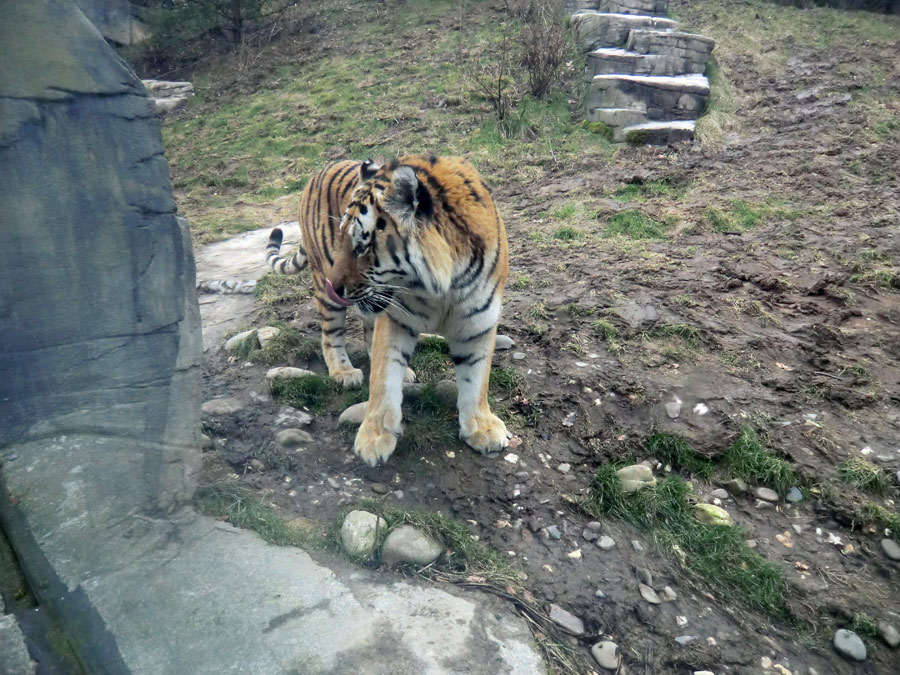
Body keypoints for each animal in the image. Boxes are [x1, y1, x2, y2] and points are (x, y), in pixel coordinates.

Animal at [264, 156, 510, 468]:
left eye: (362, 245)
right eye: (344, 239)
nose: (335, 286)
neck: (445, 284)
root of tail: (319, 170)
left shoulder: (477, 324)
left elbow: (476, 380)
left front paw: (482, 428)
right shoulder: (396, 321)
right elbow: (383, 381)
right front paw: (373, 439)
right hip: (326, 289)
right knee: (331, 336)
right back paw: (344, 371)